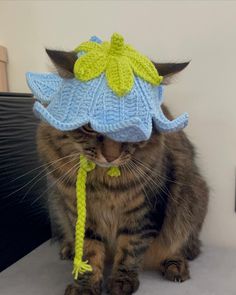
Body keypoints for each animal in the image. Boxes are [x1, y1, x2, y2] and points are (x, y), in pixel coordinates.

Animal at [36, 49, 208, 294]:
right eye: (89, 126)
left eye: (134, 128)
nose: (111, 156)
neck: (103, 182)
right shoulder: (80, 212)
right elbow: (89, 251)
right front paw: (85, 285)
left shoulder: (143, 212)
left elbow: (131, 249)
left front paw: (122, 281)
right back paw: (68, 249)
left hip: (192, 199)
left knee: (183, 245)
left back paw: (176, 266)